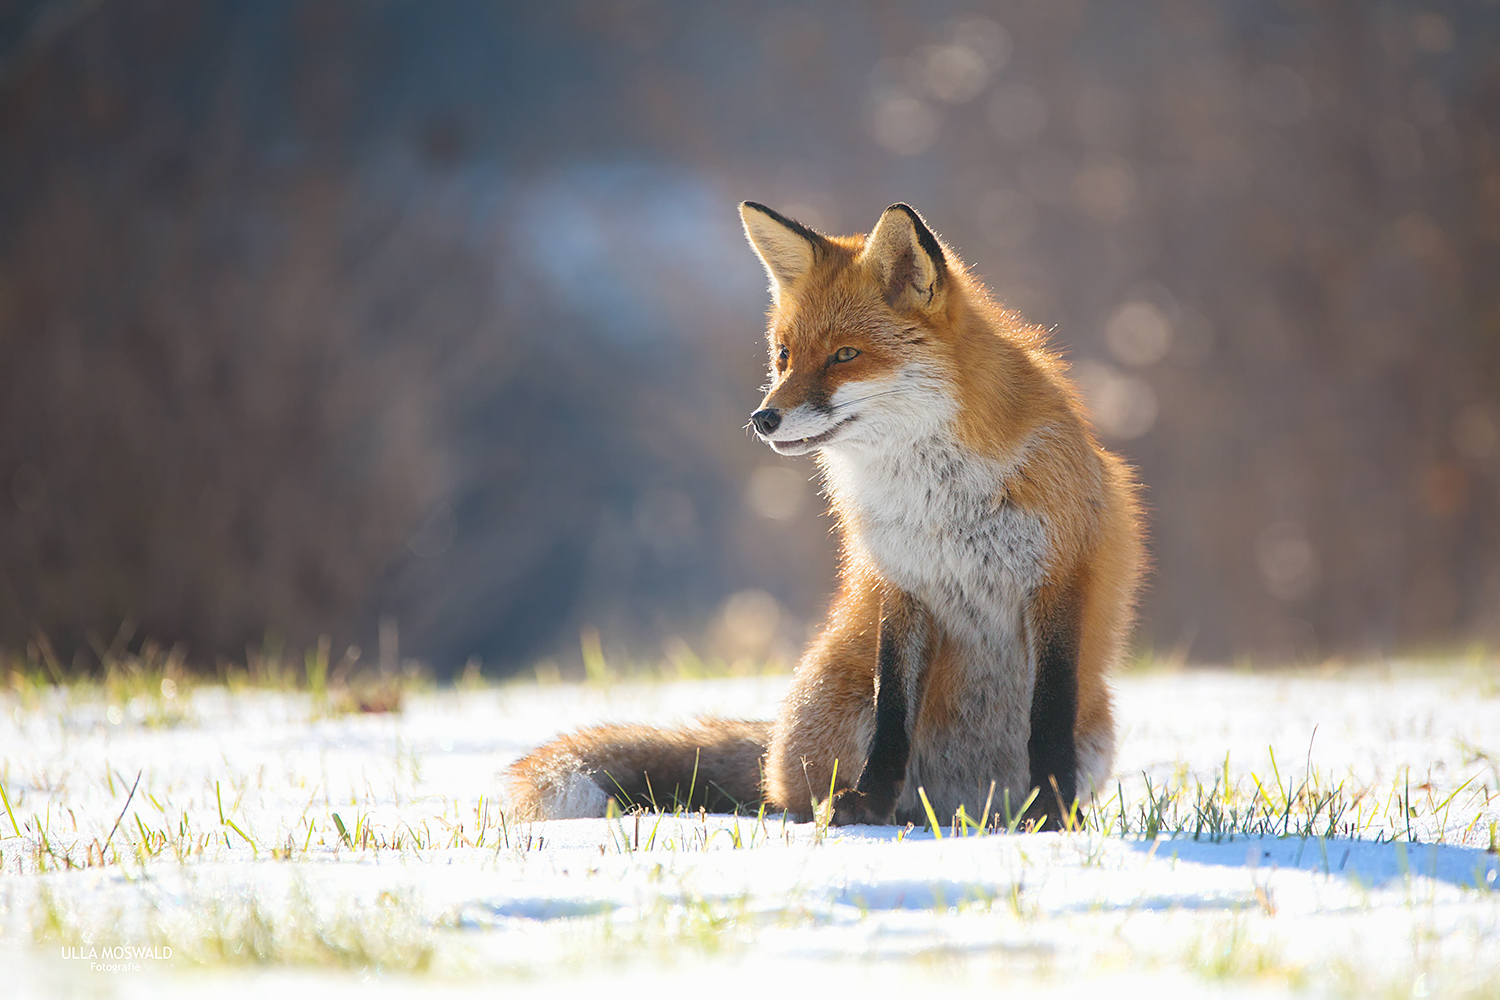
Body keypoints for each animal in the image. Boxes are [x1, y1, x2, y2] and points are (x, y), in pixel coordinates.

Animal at [510, 200, 1140, 827]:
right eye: (784, 355)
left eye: (845, 355)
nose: (763, 419)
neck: (939, 500)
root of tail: (958, 803)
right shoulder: (902, 583)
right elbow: (893, 717)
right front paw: (866, 805)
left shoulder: (1058, 579)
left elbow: (1048, 717)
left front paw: (1053, 814)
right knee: (797, 792)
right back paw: (886, 815)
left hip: (1097, 736)